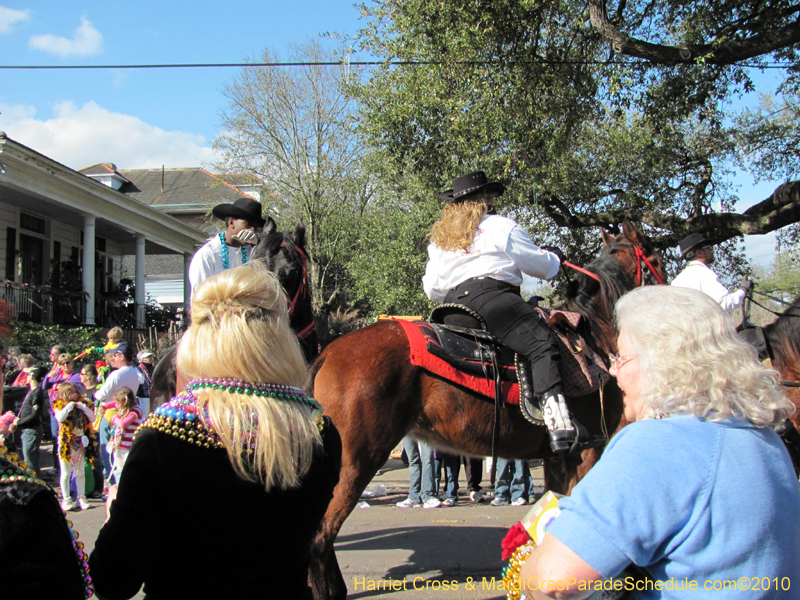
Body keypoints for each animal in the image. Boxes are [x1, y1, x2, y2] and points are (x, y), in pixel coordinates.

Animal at [304, 220, 664, 600]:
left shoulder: (559, 458)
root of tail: (328, 353)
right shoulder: (588, 451)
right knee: (320, 536)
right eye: (655, 258)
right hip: (355, 462)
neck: (594, 338)